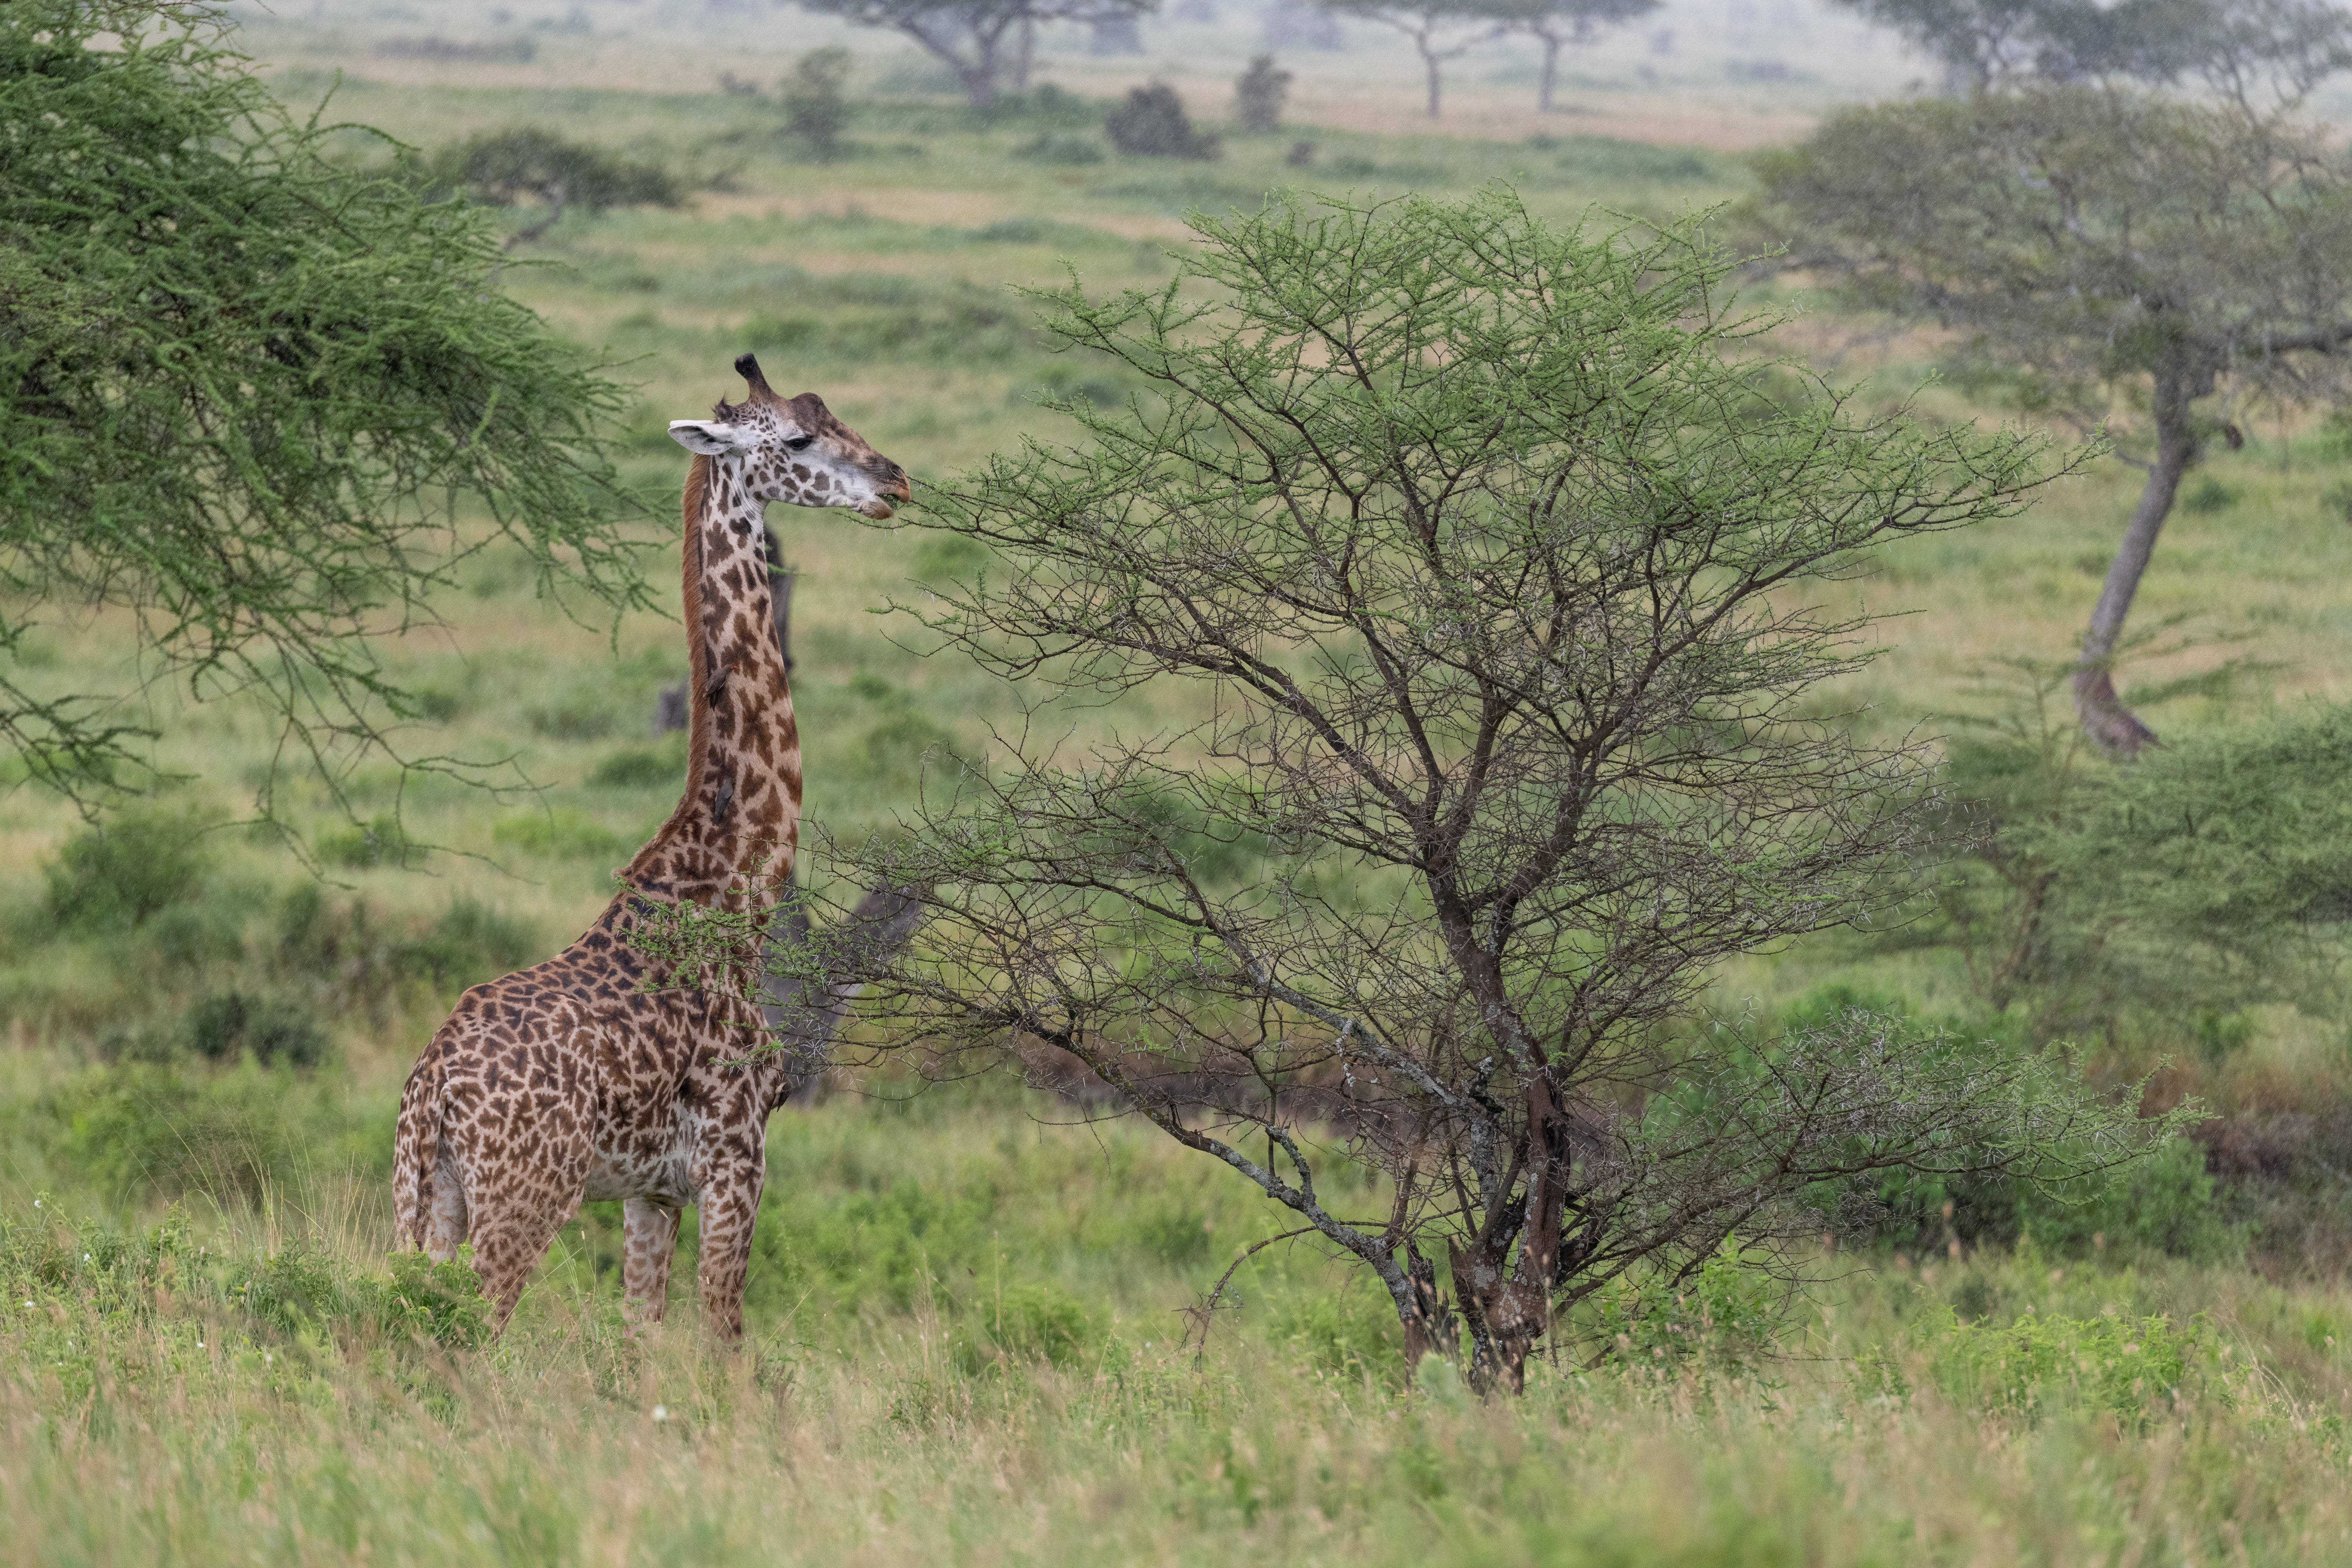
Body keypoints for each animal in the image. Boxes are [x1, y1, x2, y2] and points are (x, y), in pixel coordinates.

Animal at [392, 353, 910, 1339]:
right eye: (797, 438)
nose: (895, 481)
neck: (736, 887)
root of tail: (433, 1084)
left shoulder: (651, 1189)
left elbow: (640, 1339)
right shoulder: (736, 1159)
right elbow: (722, 1336)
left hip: (419, 1198)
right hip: (523, 1198)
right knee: (466, 1334)